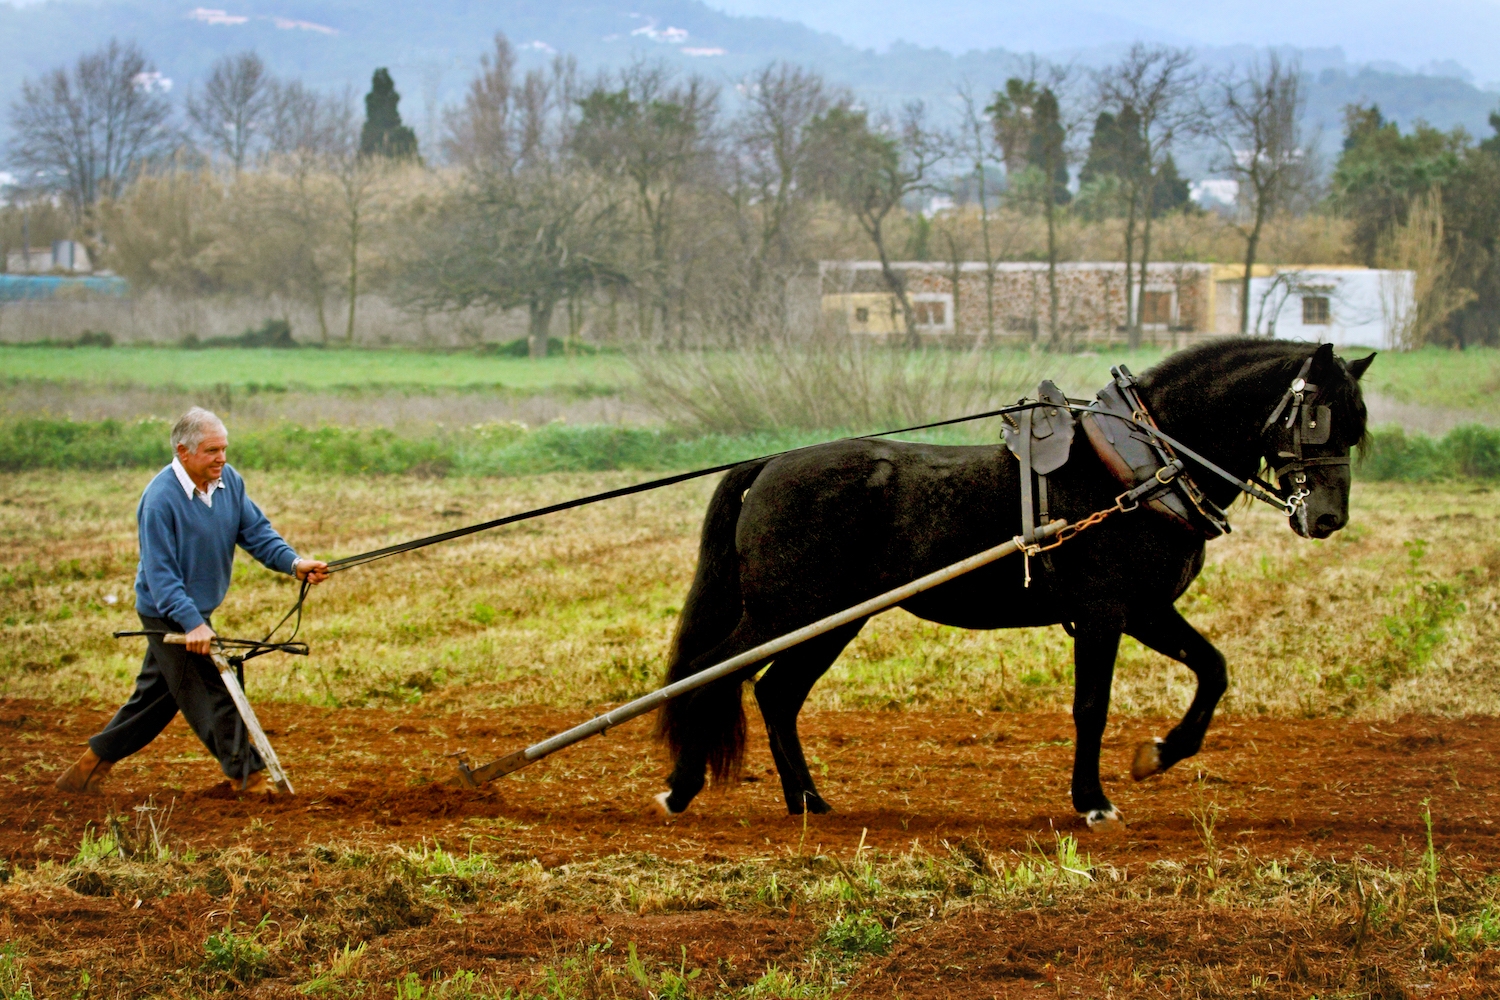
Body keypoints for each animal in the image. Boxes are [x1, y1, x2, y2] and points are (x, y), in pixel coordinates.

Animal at [651, 340, 1374, 827]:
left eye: (1356, 423)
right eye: (1316, 416)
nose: (1327, 517)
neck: (1138, 471)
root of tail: (771, 464)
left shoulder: (1145, 609)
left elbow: (1214, 669)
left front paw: (1160, 754)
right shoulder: (1107, 610)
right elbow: (1092, 705)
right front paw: (1094, 802)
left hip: (834, 619)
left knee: (777, 694)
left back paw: (806, 799)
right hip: (785, 612)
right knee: (710, 674)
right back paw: (680, 788)